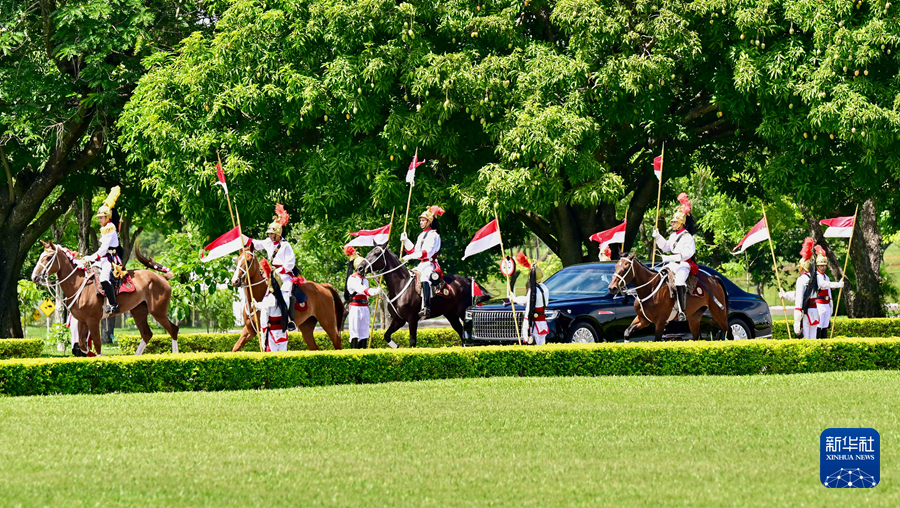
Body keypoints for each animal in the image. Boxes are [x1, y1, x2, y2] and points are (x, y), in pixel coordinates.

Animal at [30, 241, 178, 354]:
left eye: (49, 257)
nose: (34, 277)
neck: (80, 285)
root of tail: (162, 277)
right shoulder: (82, 321)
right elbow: (82, 346)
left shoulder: (93, 321)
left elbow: (97, 345)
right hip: (138, 311)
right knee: (147, 334)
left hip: (158, 312)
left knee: (173, 329)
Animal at [358, 247, 488, 350]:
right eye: (369, 252)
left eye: (376, 253)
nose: (359, 268)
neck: (401, 285)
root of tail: (468, 279)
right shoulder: (399, 320)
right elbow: (386, 335)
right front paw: (397, 347)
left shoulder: (412, 319)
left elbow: (412, 342)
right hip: (451, 315)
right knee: (461, 332)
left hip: (462, 313)